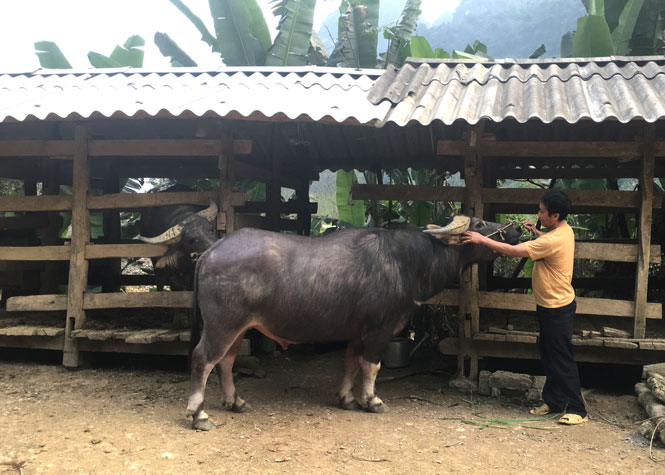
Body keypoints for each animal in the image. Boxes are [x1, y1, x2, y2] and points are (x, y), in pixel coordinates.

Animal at [184, 217, 520, 432]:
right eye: (479, 225)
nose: (516, 227)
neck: (406, 262)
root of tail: (211, 251)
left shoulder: (358, 333)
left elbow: (350, 363)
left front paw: (347, 399)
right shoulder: (380, 330)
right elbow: (371, 366)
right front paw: (372, 400)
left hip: (239, 328)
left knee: (225, 362)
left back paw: (235, 401)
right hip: (223, 323)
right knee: (203, 359)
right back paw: (198, 415)